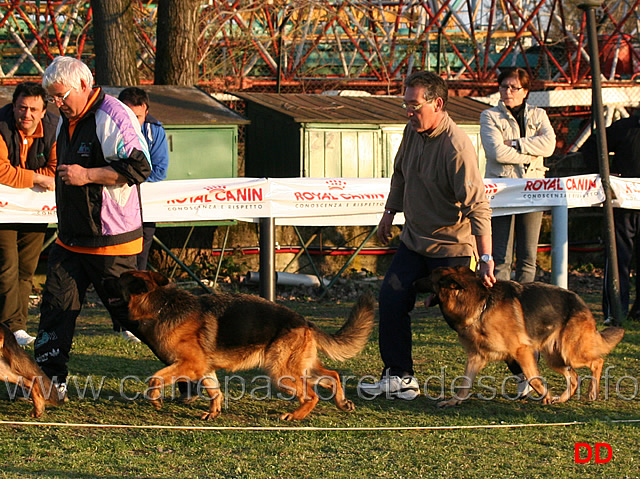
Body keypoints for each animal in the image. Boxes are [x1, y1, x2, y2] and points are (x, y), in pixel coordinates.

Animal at [105, 272, 376, 422]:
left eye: (119, 279)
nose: (104, 278)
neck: (161, 305)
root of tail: (304, 321)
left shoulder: (189, 365)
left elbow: (155, 378)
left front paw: (155, 399)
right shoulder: (203, 368)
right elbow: (214, 391)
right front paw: (214, 412)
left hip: (281, 373)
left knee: (312, 394)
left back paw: (295, 415)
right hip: (299, 367)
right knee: (332, 375)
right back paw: (342, 402)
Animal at [420, 266, 624, 408]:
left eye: (429, 277)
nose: (414, 282)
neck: (481, 305)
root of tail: (581, 302)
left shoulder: (522, 351)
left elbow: (533, 378)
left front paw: (545, 396)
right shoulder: (476, 357)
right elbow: (465, 382)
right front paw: (454, 401)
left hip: (571, 353)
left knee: (597, 362)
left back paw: (592, 392)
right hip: (555, 357)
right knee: (573, 377)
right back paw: (562, 398)